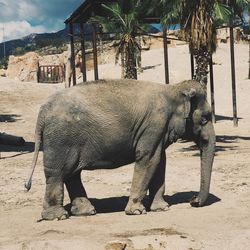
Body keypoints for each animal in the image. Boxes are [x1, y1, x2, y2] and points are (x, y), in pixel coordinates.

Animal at [24, 78, 215, 221]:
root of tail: (42, 112)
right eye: (205, 118)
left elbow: (160, 160)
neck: (174, 89)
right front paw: (137, 212)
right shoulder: (154, 125)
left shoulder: (158, 131)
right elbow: (149, 159)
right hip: (60, 140)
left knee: (72, 173)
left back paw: (86, 212)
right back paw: (58, 216)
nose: (193, 200)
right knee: (58, 173)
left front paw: (162, 208)